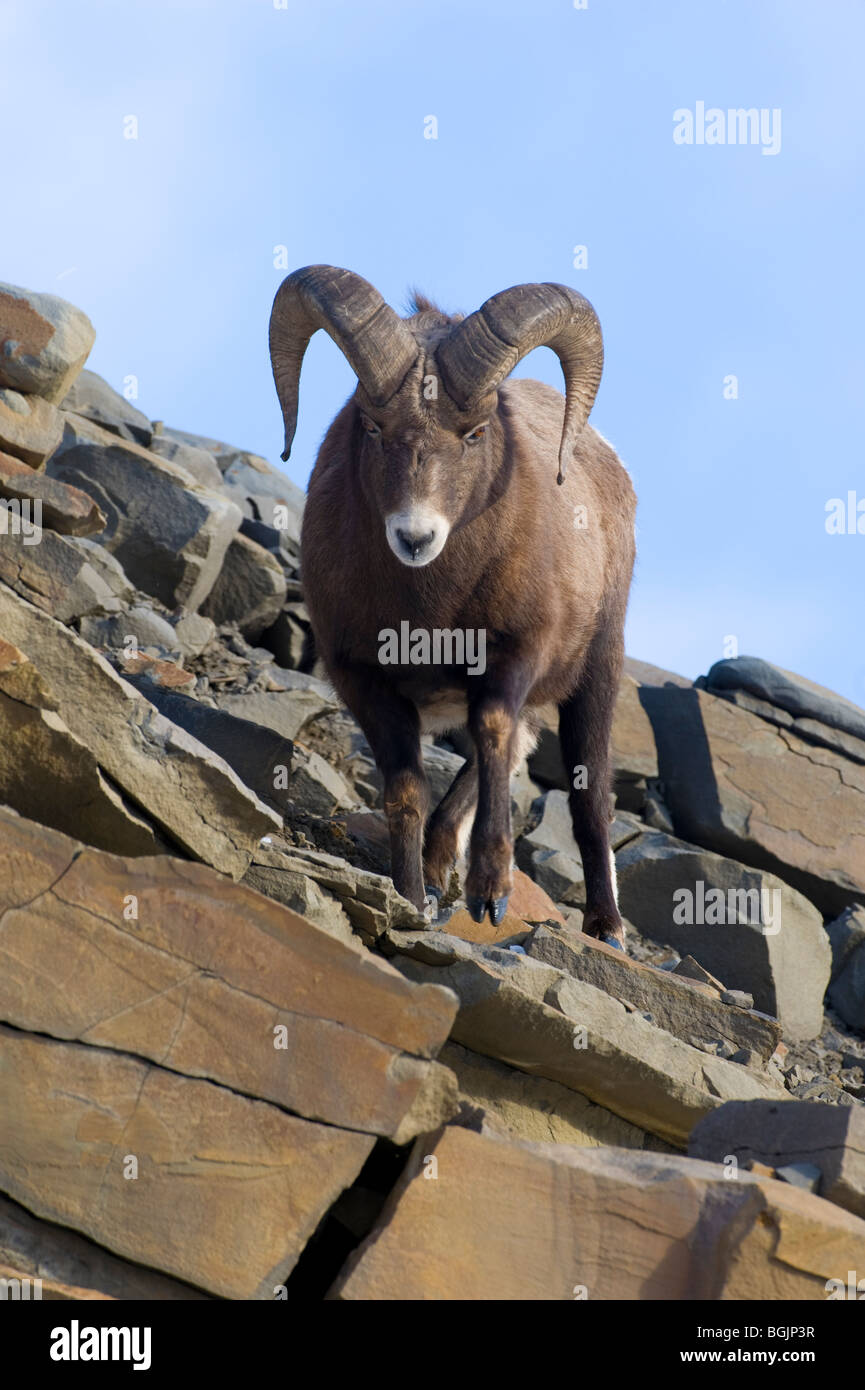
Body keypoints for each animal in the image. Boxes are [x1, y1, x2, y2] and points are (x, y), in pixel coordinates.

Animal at [271, 266, 636, 950]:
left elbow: (492, 732)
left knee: (587, 797)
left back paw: (606, 930)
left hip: (596, 673)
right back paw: (440, 873)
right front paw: (413, 899)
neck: (430, 609)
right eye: (371, 425)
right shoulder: (366, 682)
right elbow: (407, 789)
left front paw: (490, 893)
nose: (415, 537)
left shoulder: (514, 655)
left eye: (475, 432)